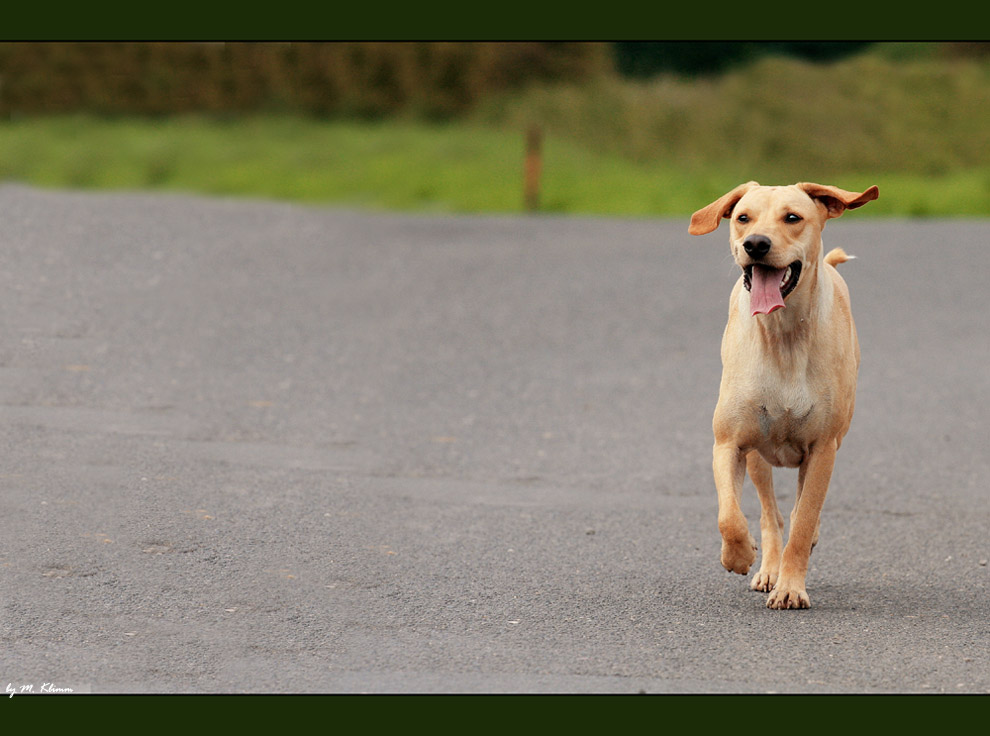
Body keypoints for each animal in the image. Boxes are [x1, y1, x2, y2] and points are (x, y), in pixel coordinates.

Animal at [692, 183, 880, 608]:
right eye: (743, 218)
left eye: (792, 217)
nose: (756, 244)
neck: (783, 337)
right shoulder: (729, 443)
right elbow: (729, 515)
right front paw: (739, 555)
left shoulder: (823, 449)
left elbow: (805, 516)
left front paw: (791, 587)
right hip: (758, 457)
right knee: (770, 514)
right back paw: (767, 568)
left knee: (797, 515)